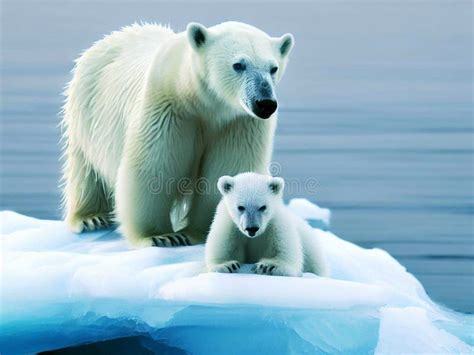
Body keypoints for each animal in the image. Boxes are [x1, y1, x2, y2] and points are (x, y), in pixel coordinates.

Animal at [61, 21, 294, 248]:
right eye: (238, 65)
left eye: (273, 68)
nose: (265, 103)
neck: (202, 103)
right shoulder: (168, 108)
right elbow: (154, 168)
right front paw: (161, 236)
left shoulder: (239, 122)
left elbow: (228, 168)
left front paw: (202, 231)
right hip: (87, 112)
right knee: (87, 171)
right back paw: (91, 218)